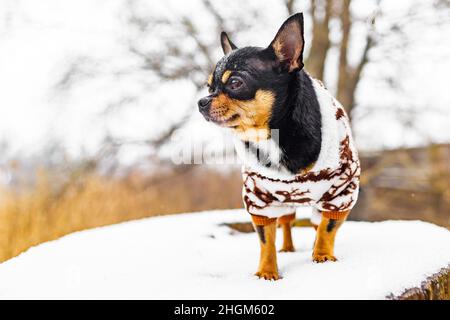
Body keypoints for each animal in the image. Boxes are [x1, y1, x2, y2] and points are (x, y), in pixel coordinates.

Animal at [199, 13, 360, 282]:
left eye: (235, 83)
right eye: (209, 86)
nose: (201, 101)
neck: (273, 137)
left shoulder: (341, 191)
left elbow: (327, 227)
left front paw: (323, 256)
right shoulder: (260, 199)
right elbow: (266, 240)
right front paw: (267, 271)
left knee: (316, 223)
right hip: (282, 201)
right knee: (286, 222)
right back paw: (287, 247)